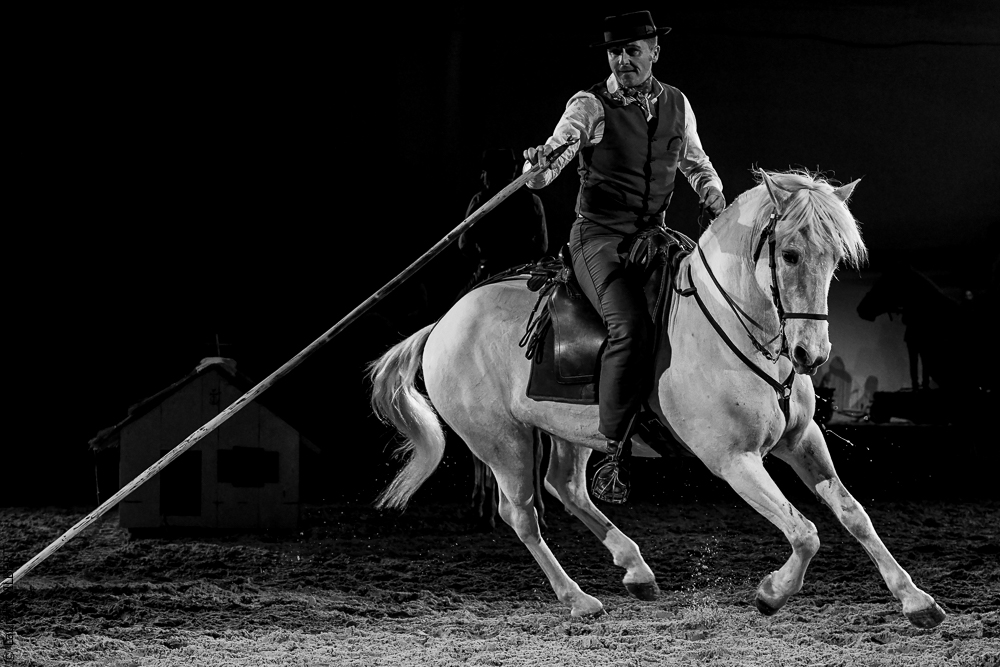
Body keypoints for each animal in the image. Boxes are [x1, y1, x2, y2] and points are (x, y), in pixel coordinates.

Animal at [368, 170, 946, 629]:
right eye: (790, 254)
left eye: (834, 259)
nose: (812, 353)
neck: (735, 330)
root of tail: (444, 322)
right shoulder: (733, 461)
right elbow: (805, 533)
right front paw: (771, 594)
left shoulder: (802, 441)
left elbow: (853, 514)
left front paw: (916, 601)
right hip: (500, 441)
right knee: (523, 515)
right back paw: (579, 600)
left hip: (572, 428)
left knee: (566, 487)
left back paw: (635, 569)